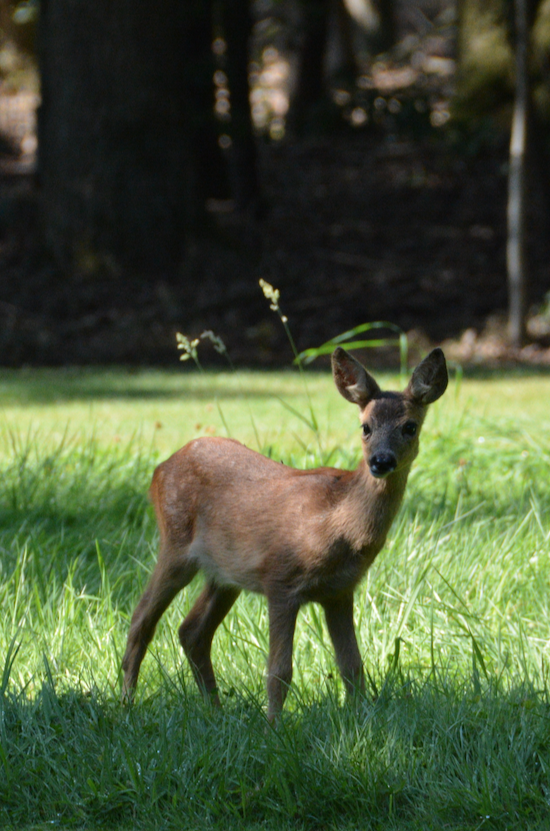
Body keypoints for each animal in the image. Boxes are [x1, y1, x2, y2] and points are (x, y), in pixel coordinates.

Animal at [122, 346, 448, 720]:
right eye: (365, 427)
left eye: (410, 426)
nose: (381, 461)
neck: (336, 524)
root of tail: (159, 469)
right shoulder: (280, 579)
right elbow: (279, 670)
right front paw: (274, 725)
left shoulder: (339, 591)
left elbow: (352, 666)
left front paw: (360, 720)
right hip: (175, 544)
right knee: (141, 619)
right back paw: (126, 702)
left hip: (224, 574)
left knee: (192, 631)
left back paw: (216, 710)